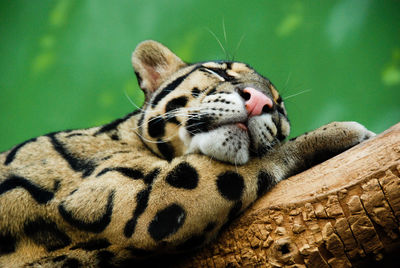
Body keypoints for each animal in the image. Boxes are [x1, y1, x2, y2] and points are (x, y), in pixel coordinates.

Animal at [0, 39, 376, 266]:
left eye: (280, 106)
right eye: (218, 71)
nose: (261, 101)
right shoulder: (127, 197)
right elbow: (257, 159)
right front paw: (341, 132)